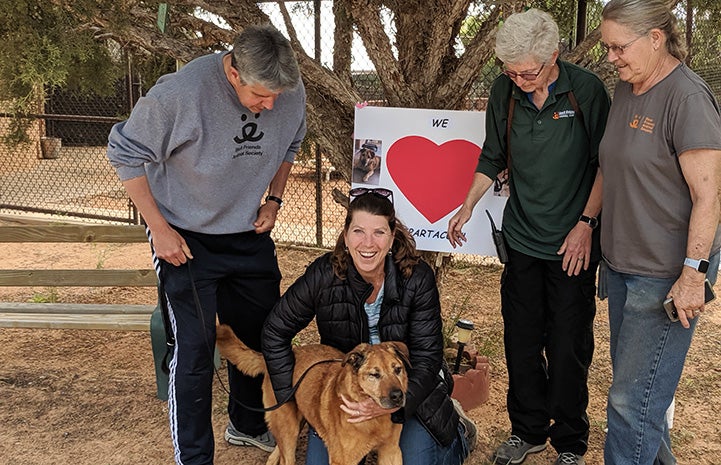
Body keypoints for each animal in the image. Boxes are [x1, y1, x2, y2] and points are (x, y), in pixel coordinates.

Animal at [215, 322, 410, 464]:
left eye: (398, 369)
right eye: (374, 375)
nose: (398, 396)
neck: (374, 420)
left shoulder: (391, 452)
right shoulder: (343, 460)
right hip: (289, 428)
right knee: (287, 458)